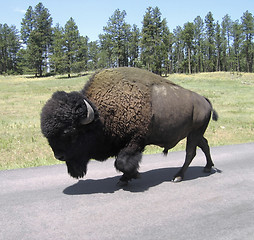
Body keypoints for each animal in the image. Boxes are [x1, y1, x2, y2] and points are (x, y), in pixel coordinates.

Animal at [40, 67, 217, 184]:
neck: (100, 115)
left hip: (194, 133)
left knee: (190, 152)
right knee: (204, 145)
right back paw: (208, 167)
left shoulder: (135, 141)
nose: (59, 156)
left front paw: (130, 177)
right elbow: (121, 161)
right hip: (195, 133)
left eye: (70, 133)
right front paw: (127, 178)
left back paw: (178, 176)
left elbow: (121, 162)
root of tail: (204, 100)